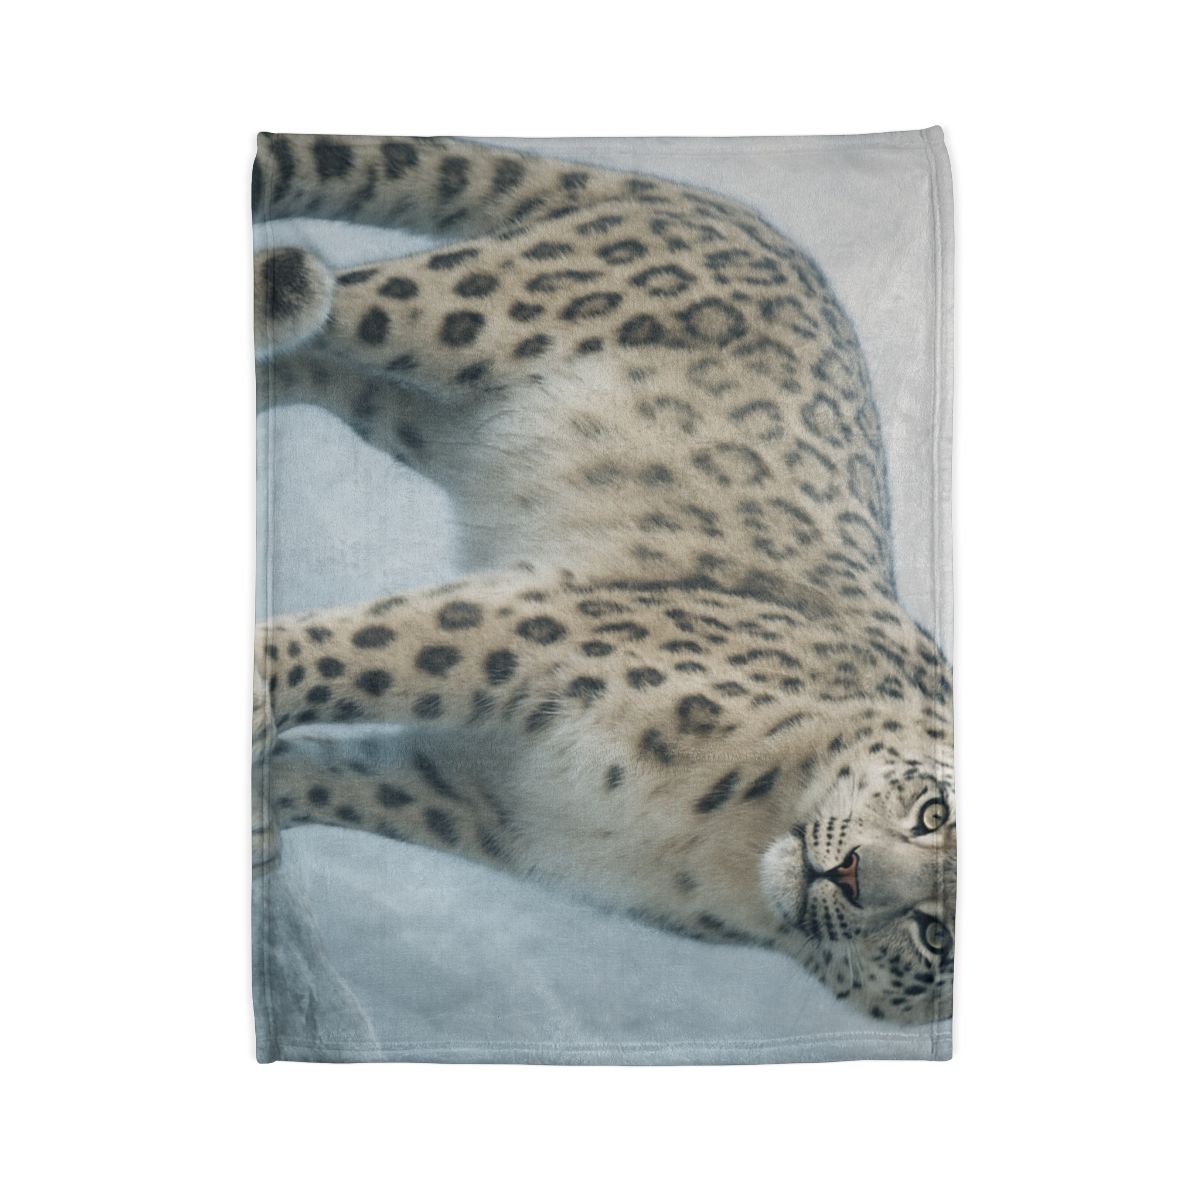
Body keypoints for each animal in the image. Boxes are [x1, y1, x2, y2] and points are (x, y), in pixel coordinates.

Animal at [252, 134, 955, 1025]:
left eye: (935, 937)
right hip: (473, 308)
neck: (718, 838)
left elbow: (335, 781)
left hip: (420, 420)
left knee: (316, 360)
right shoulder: (545, 633)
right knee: (345, 293)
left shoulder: (484, 800)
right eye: (932, 813)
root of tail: (745, 218)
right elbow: (367, 650)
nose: (852, 873)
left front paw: (263, 814)